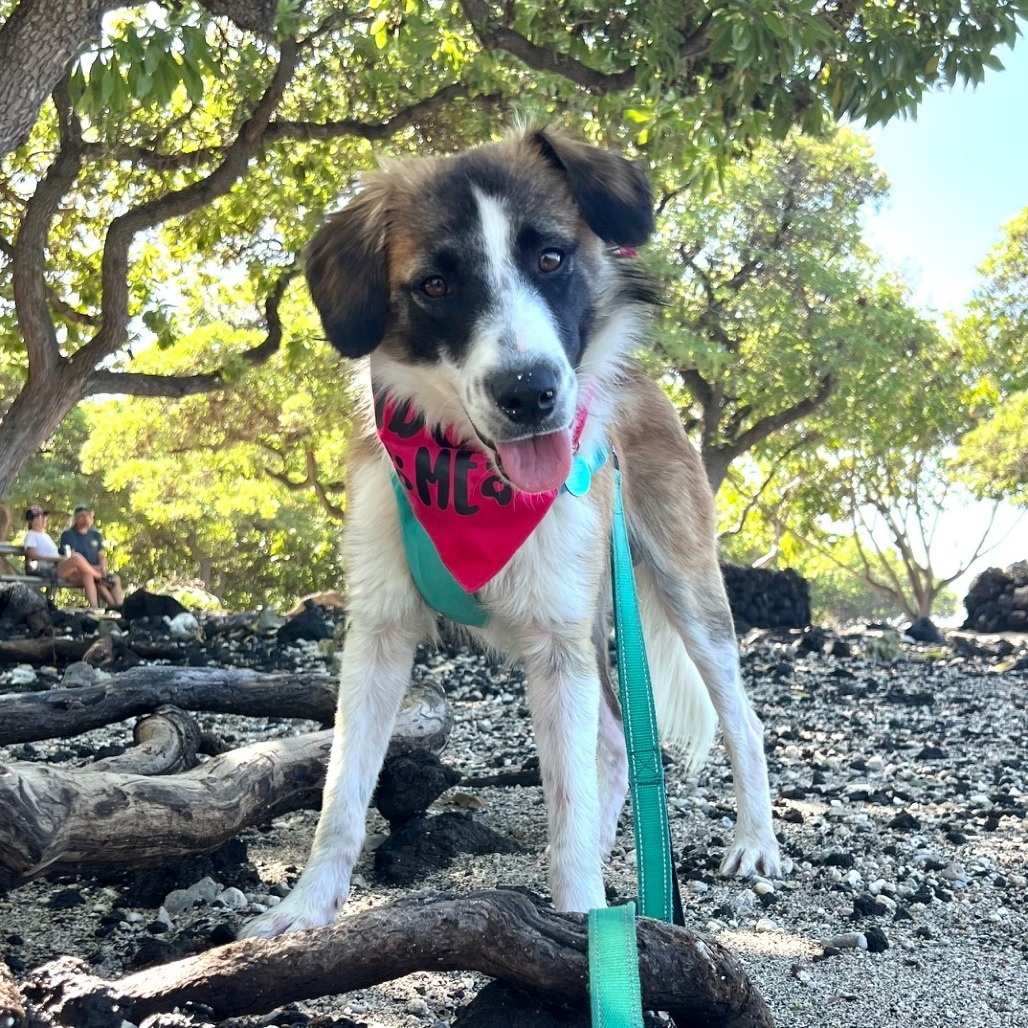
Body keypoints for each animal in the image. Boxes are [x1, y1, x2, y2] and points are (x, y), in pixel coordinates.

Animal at [242, 128, 777, 941]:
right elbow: (342, 794)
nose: (530, 394)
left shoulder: (557, 642)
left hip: (684, 590)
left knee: (739, 721)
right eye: (436, 285)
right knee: (613, 740)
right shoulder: (379, 632)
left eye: (551, 258)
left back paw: (753, 842)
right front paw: (304, 909)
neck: (467, 473)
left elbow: (570, 796)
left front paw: (583, 924)